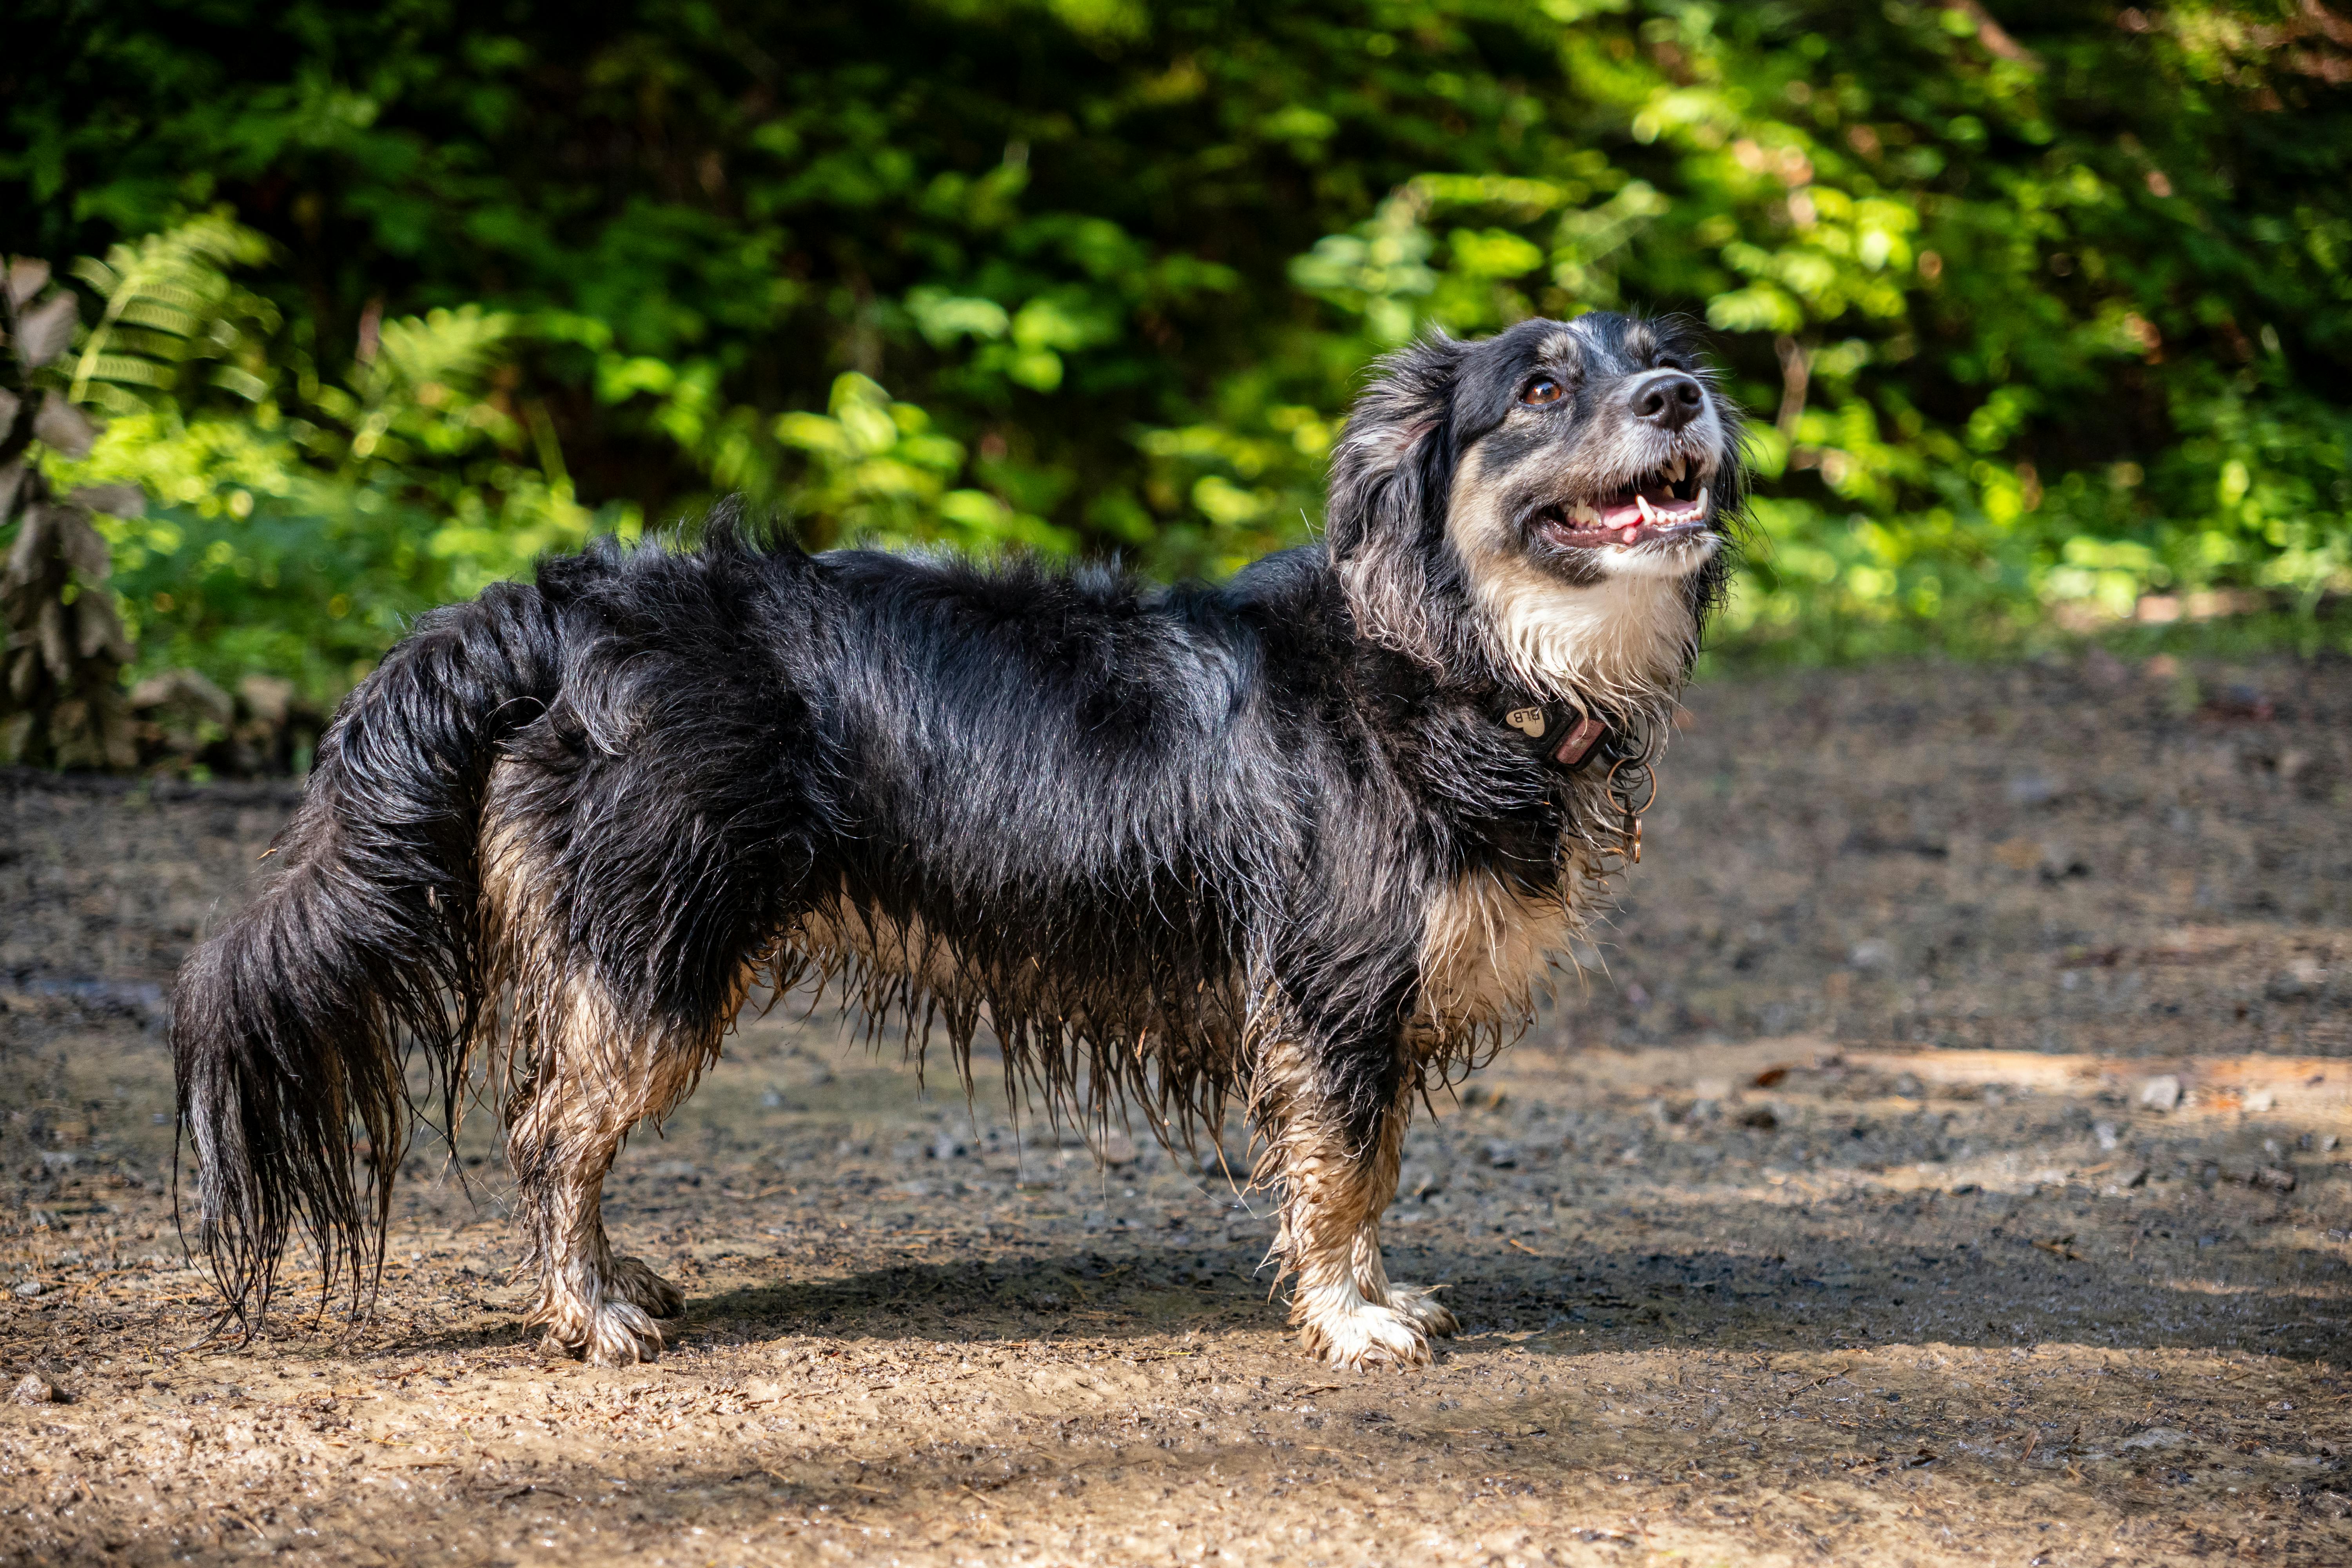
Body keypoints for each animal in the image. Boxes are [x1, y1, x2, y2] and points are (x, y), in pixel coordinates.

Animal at [171, 312, 1750, 1363]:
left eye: (1653, 352)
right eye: (1541, 387)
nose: (1681, 393)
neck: (1449, 657)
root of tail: (573, 602)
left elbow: (1372, 1165)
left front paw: (1375, 1290)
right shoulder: (1330, 996)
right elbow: (1344, 1169)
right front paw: (1351, 1314)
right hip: (656, 952)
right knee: (549, 1129)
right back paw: (590, 1309)